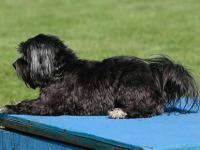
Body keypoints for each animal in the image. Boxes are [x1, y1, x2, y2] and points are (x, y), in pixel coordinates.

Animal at [0, 33, 199, 118]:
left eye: (25, 56)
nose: (14, 64)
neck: (60, 70)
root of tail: (154, 72)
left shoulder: (49, 104)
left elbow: (27, 105)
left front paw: (8, 107)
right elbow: (26, 101)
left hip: (128, 87)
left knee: (147, 109)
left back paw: (120, 112)